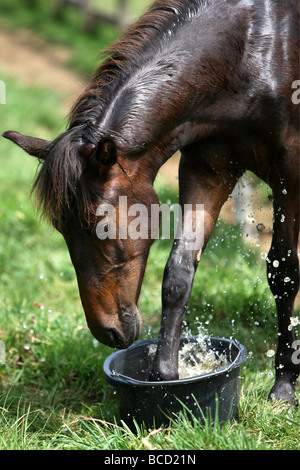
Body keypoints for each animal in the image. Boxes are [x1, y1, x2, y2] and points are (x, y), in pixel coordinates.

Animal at [2, 0, 300, 404]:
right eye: (61, 229)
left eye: (102, 226)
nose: (107, 332)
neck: (251, 52)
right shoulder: (207, 170)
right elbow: (178, 273)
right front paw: (165, 376)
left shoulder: (291, 176)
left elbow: (283, 273)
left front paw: (284, 385)